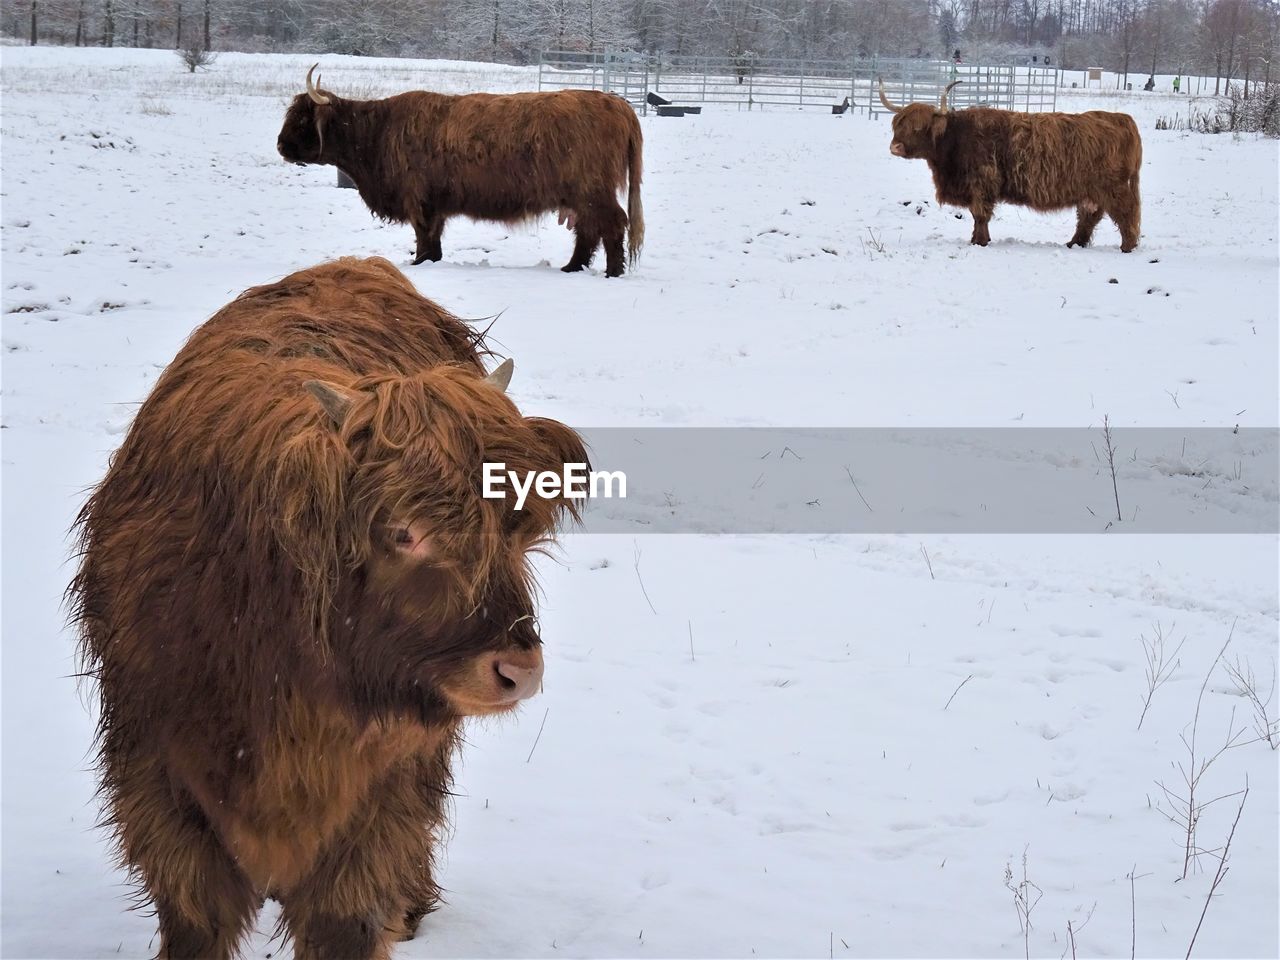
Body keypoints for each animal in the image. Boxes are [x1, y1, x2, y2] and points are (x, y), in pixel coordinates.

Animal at [67, 256, 586, 960]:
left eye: (517, 529)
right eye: (402, 531)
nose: (518, 671)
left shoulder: (380, 796)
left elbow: (348, 914)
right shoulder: (159, 776)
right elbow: (196, 912)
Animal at [275, 65, 645, 276]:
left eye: (303, 119)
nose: (280, 145)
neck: (377, 133)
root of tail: (617, 103)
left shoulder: (418, 199)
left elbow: (424, 236)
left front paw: (419, 264)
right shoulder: (434, 202)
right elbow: (434, 239)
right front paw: (430, 262)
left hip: (592, 190)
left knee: (612, 224)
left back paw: (612, 272)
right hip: (581, 196)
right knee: (589, 231)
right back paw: (571, 268)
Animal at [880, 79, 1141, 252]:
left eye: (918, 127)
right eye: (898, 125)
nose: (895, 147)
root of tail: (1122, 119)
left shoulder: (982, 183)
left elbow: (980, 214)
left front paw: (979, 242)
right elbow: (979, 216)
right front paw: (979, 239)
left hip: (1114, 188)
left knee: (1126, 213)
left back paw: (1127, 246)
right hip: (1092, 192)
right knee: (1089, 217)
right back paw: (1074, 244)